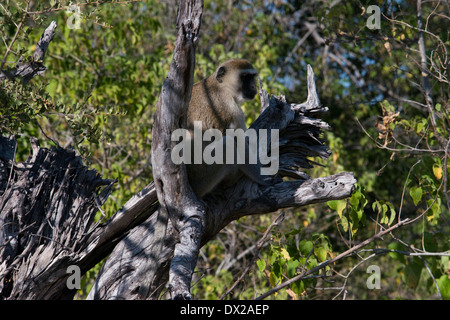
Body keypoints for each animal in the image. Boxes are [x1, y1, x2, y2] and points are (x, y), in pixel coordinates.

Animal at [184, 58, 270, 196]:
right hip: (203, 177)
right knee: (228, 144)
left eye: (252, 77)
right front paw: (265, 178)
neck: (220, 86)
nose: (253, 87)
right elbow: (242, 147)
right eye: (245, 77)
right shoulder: (233, 109)